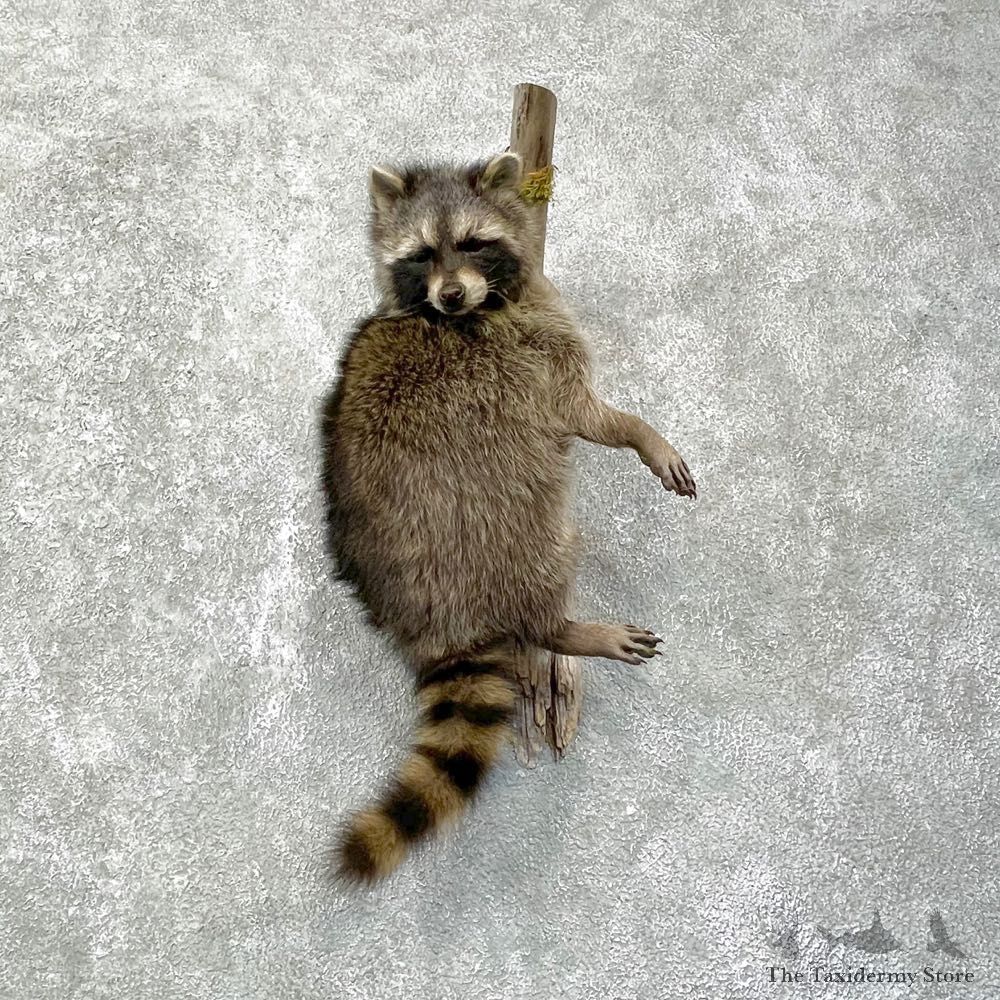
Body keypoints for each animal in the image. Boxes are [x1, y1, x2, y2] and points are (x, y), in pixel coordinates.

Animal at [320, 152, 696, 883]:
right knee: (547, 568)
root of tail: (434, 622)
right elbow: (590, 417)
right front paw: (641, 435)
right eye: (420, 255)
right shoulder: (540, 357)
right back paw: (563, 629)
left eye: (472, 243)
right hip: (502, 531)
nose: (449, 297)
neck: (477, 307)